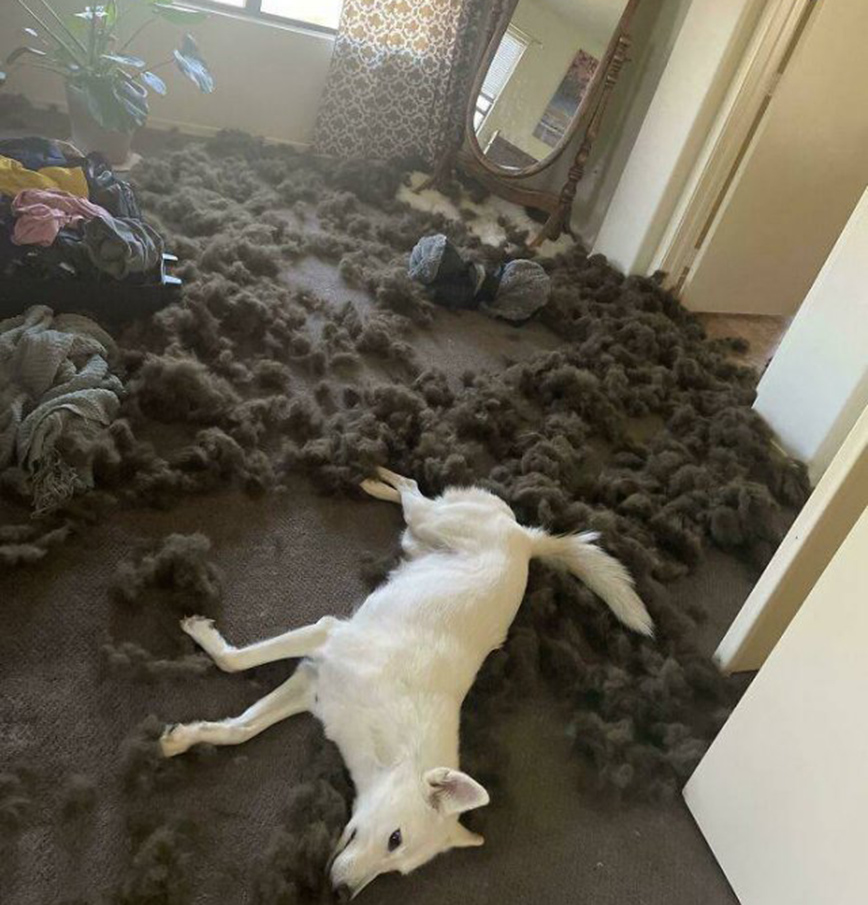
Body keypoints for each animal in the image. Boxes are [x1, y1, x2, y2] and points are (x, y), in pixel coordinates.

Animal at [160, 467, 653, 900]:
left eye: (395, 868)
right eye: (395, 838)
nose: (341, 894)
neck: (389, 739)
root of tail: (527, 540)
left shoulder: (309, 687)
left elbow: (238, 728)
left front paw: (185, 737)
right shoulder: (325, 639)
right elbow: (234, 663)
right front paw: (201, 636)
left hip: (417, 539)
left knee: (415, 497)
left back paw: (378, 485)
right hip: (430, 524)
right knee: (414, 490)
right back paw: (378, 479)